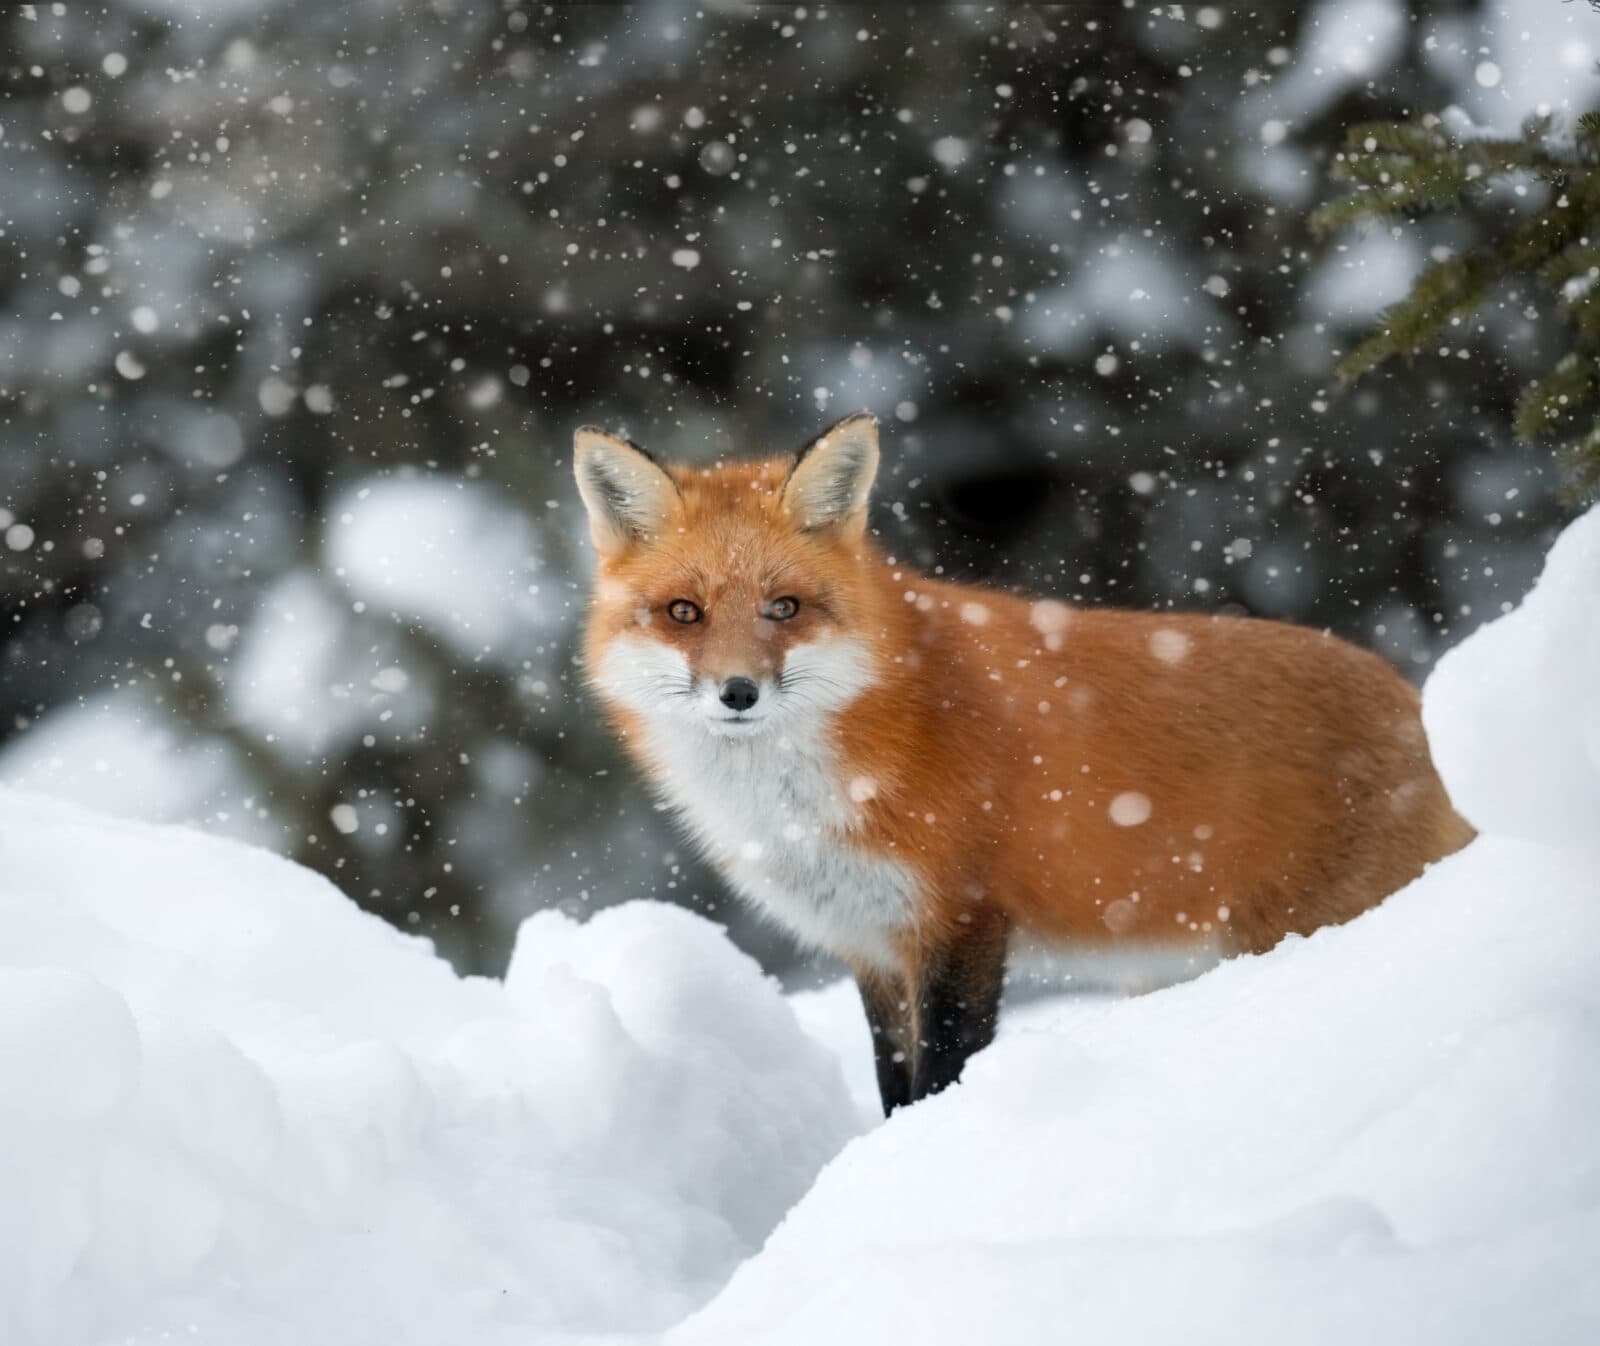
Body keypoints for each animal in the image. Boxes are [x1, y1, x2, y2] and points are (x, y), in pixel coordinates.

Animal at [576, 412, 1472, 1113]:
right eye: (684, 612)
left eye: (784, 607)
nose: (738, 693)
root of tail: (1415, 700)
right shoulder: (871, 943)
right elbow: (892, 1087)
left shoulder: (961, 919)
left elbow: (940, 1078)